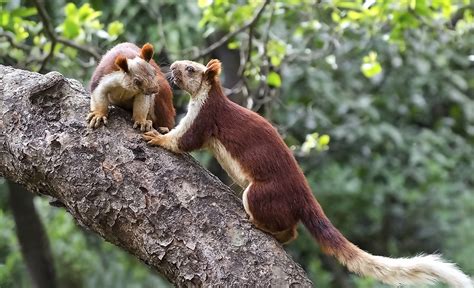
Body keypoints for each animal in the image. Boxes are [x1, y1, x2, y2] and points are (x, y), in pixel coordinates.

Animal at [143, 58, 472, 288]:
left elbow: (184, 140)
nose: (172, 65)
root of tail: (304, 196)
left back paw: (261, 226)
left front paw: (157, 137)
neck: (210, 97)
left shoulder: (205, 117)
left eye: (190, 69)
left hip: (260, 193)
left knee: (289, 228)